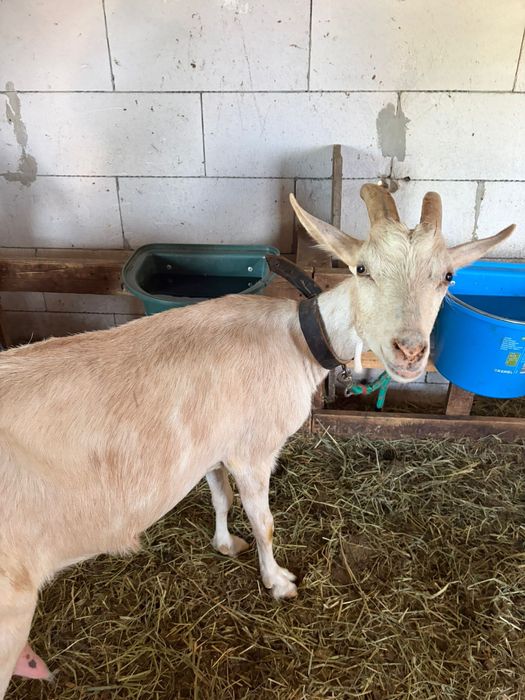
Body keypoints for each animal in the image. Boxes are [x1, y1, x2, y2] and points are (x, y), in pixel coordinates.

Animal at [0, 185, 514, 696]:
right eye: (362, 269)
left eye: (448, 275)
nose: (409, 351)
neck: (296, 338)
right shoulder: (253, 449)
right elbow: (263, 521)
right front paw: (279, 582)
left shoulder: (213, 444)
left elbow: (221, 496)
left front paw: (226, 544)